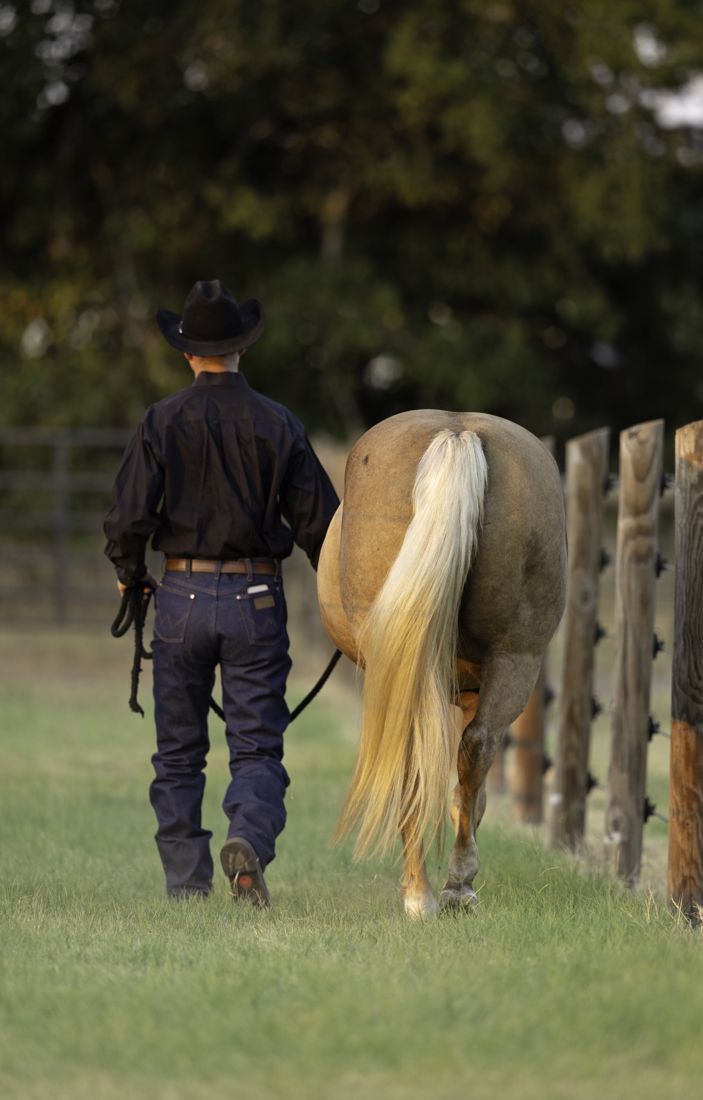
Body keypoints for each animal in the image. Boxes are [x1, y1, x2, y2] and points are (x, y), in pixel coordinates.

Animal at [316, 409, 566, 918]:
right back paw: (454, 886)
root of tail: (458, 431)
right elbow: (467, 787)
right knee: (477, 747)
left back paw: (423, 893)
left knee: (414, 761)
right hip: (516, 658)